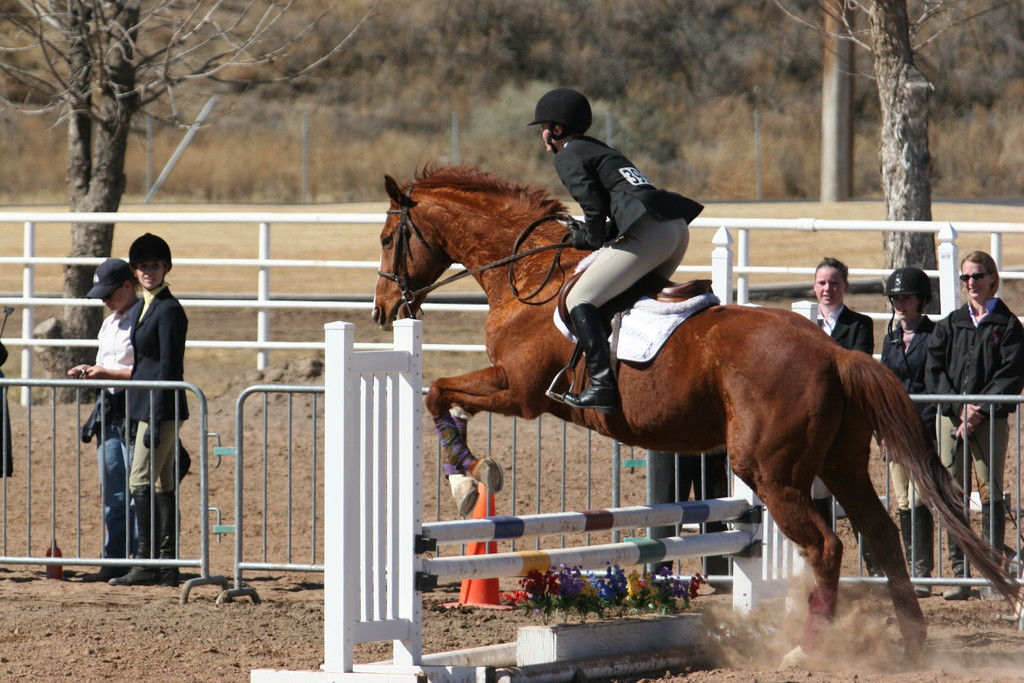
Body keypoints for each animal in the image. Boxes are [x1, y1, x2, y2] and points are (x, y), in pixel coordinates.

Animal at [368, 165, 1015, 667]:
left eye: (386, 237)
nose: (382, 309)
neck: (527, 274)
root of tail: (834, 351)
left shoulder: (519, 392)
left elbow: (437, 393)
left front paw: (464, 476)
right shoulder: (513, 390)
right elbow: (443, 394)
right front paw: (468, 471)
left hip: (771, 471)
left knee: (827, 546)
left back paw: (805, 649)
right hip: (842, 464)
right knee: (881, 534)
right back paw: (911, 642)